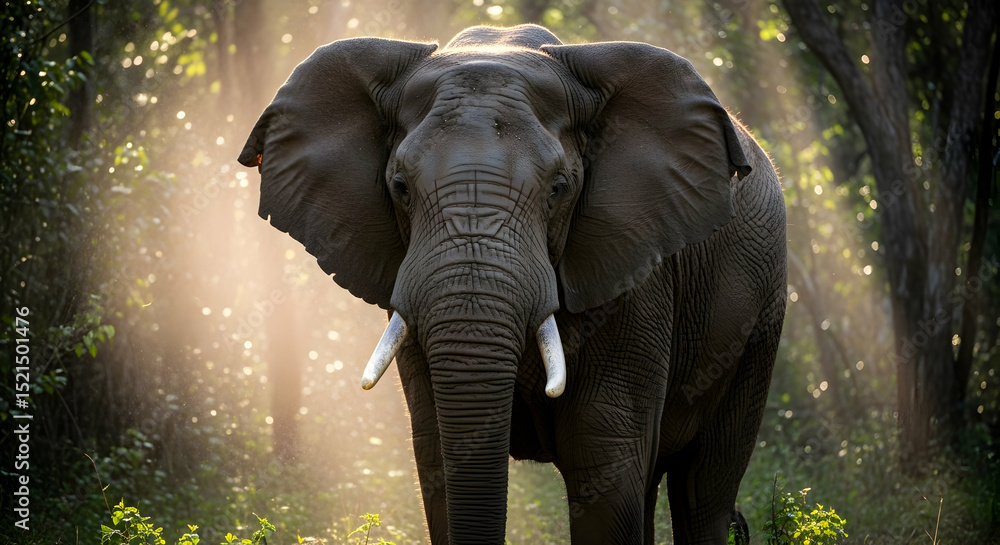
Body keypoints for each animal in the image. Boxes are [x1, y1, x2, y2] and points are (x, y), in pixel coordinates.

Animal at [239, 24, 786, 545]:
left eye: (560, 188)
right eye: (399, 187)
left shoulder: (636, 277)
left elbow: (603, 456)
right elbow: (437, 453)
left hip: (761, 319)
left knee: (703, 489)